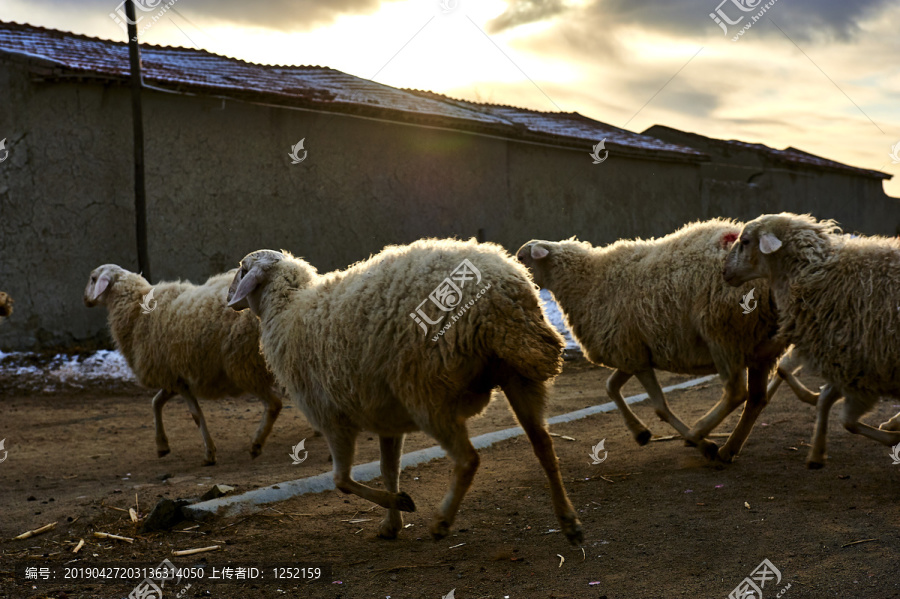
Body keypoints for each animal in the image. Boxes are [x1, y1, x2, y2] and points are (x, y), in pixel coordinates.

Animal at [85, 264, 284, 466]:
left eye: (93, 279)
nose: (85, 299)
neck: (135, 310)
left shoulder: (177, 379)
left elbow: (195, 415)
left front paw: (209, 453)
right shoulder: (175, 377)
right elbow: (156, 402)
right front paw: (162, 445)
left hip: (244, 367)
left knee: (274, 404)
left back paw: (257, 444)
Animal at [227, 241, 584, 548]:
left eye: (241, 269)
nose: (229, 299)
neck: (288, 308)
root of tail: (502, 294)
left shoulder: (331, 418)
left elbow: (341, 480)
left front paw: (402, 503)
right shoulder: (386, 418)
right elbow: (388, 471)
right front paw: (391, 523)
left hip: (427, 392)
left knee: (469, 459)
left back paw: (441, 522)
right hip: (518, 377)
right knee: (544, 446)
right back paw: (569, 522)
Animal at [516, 220, 784, 464]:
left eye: (521, 258)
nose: (517, 283)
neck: (589, 280)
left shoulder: (633, 355)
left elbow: (659, 407)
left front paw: (702, 444)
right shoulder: (632, 353)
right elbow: (610, 387)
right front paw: (640, 433)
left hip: (723, 333)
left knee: (736, 392)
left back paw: (699, 433)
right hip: (759, 345)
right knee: (756, 399)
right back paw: (729, 449)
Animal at [724, 212, 900, 468]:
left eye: (745, 241)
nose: (724, 272)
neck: (813, 272)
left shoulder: (862, 367)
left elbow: (846, 419)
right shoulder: (846, 362)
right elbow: (823, 399)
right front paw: (817, 453)